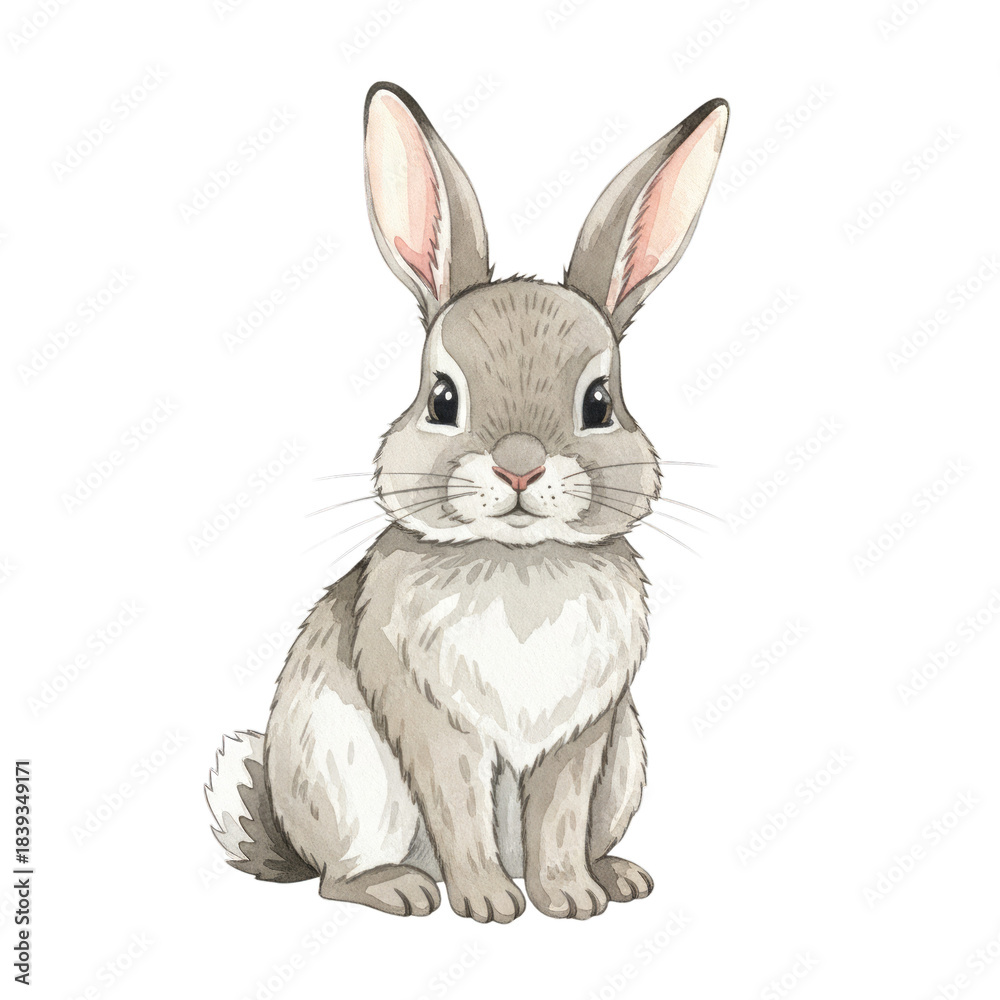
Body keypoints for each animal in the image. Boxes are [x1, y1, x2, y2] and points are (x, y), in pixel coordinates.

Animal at [207, 82, 728, 922]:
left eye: (600, 402)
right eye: (442, 399)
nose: (519, 467)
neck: (522, 563)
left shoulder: (583, 738)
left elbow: (557, 822)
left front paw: (570, 900)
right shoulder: (432, 725)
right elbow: (458, 812)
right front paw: (488, 903)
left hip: (625, 766)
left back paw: (616, 875)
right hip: (353, 789)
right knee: (335, 879)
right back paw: (405, 888)